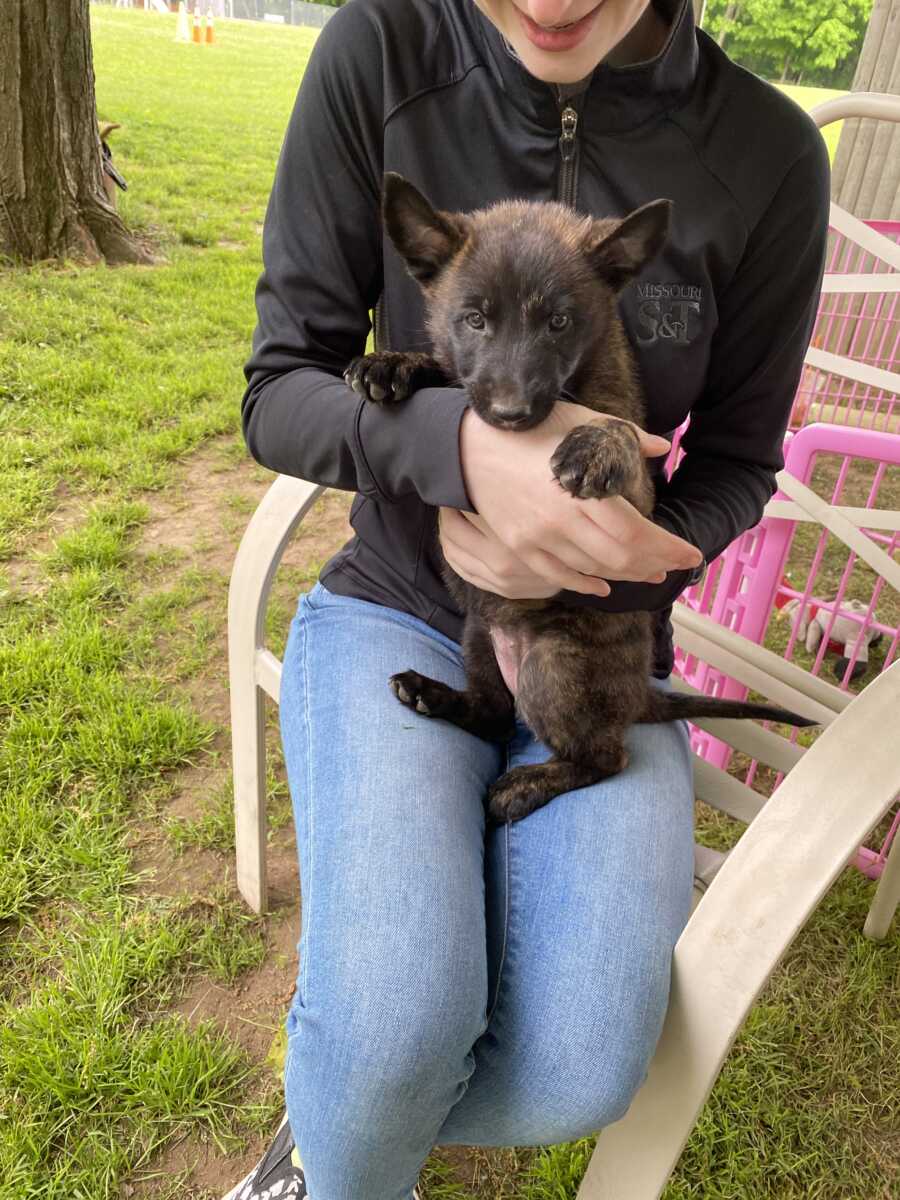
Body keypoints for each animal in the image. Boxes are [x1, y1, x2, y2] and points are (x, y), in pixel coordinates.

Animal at [345, 175, 816, 825]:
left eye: (560, 322)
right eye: (474, 319)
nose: (511, 413)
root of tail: (640, 693)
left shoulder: (640, 499)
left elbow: (623, 433)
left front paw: (596, 445)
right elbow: (447, 371)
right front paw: (394, 363)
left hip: (554, 662)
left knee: (604, 757)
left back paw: (527, 783)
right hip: (479, 636)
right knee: (494, 715)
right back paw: (432, 695)